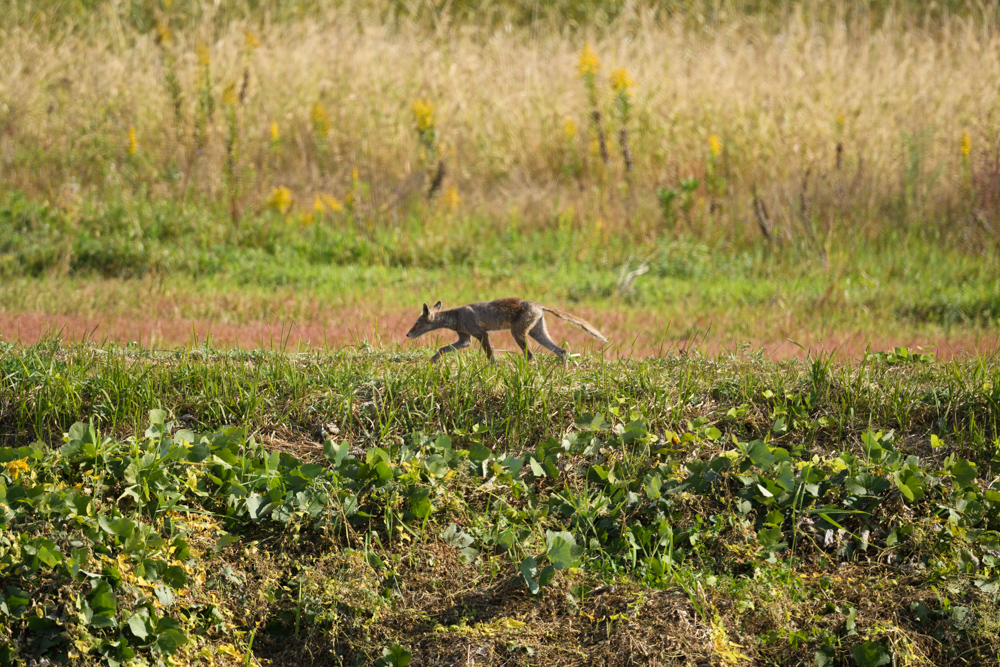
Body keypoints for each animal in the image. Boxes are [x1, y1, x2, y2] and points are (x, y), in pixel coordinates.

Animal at [406, 298, 608, 360]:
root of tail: (538, 304)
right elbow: (442, 349)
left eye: (417, 323)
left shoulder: (481, 334)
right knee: (562, 351)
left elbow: (490, 356)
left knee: (531, 356)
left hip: (517, 333)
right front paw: (432, 361)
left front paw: (493, 371)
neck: (457, 316)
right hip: (537, 333)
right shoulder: (465, 340)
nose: (407, 334)